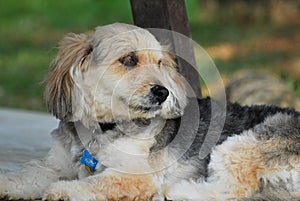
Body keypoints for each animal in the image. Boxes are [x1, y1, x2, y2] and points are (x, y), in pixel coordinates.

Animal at [0, 22, 300, 200]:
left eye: (158, 63)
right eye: (129, 60)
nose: (163, 92)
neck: (103, 128)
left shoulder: (134, 176)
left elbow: (94, 184)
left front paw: (63, 189)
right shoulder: (55, 165)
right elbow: (25, 176)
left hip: (243, 144)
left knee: (235, 189)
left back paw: (177, 191)